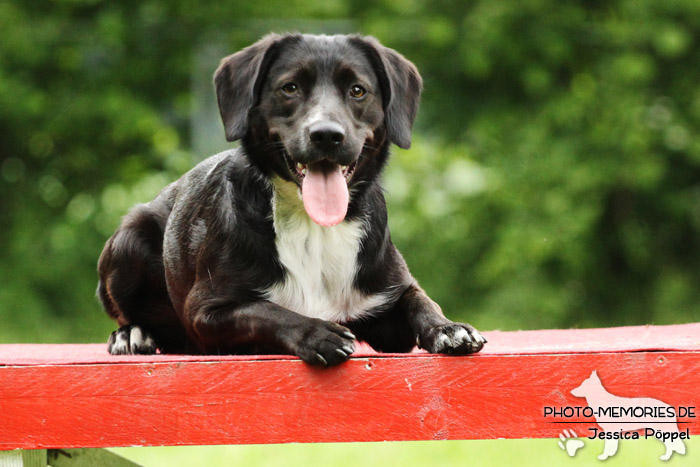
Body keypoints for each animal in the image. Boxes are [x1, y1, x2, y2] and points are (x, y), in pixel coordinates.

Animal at [95, 34, 484, 368]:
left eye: (358, 90)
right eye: (290, 88)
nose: (326, 135)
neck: (315, 228)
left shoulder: (387, 307)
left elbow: (419, 299)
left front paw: (449, 328)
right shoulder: (204, 313)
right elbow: (265, 311)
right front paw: (317, 333)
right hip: (129, 240)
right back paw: (130, 335)